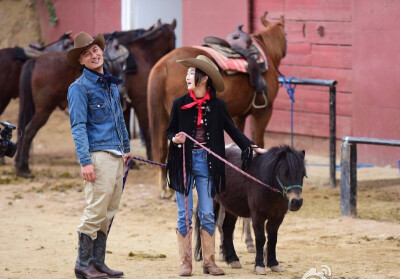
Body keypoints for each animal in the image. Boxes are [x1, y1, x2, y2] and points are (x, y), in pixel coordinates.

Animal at [14, 37, 127, 177]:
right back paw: (24, 168)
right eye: (122, 64)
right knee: (29, 131)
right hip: (44, 109)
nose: (123, 92)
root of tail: (35, 60)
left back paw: (20, 166)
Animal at [148, 13, 286, 199]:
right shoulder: (263, 112)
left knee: (162, 147)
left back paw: (165, 189)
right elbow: (258, 140)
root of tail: (162, 65)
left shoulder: (238, 116)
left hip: (163, 116)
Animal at [195, 147, 304, 276]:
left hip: (232, 206)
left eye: (303, 174)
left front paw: (274, 264)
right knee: (205, 227)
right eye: (285, 173)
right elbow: (261, 238)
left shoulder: (278, 217)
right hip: (212, 201)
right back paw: (205, 263)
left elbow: (273, 238)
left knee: (227, 228)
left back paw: (233, 260)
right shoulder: (258, 215)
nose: (296, 202)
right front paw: (260, 266)